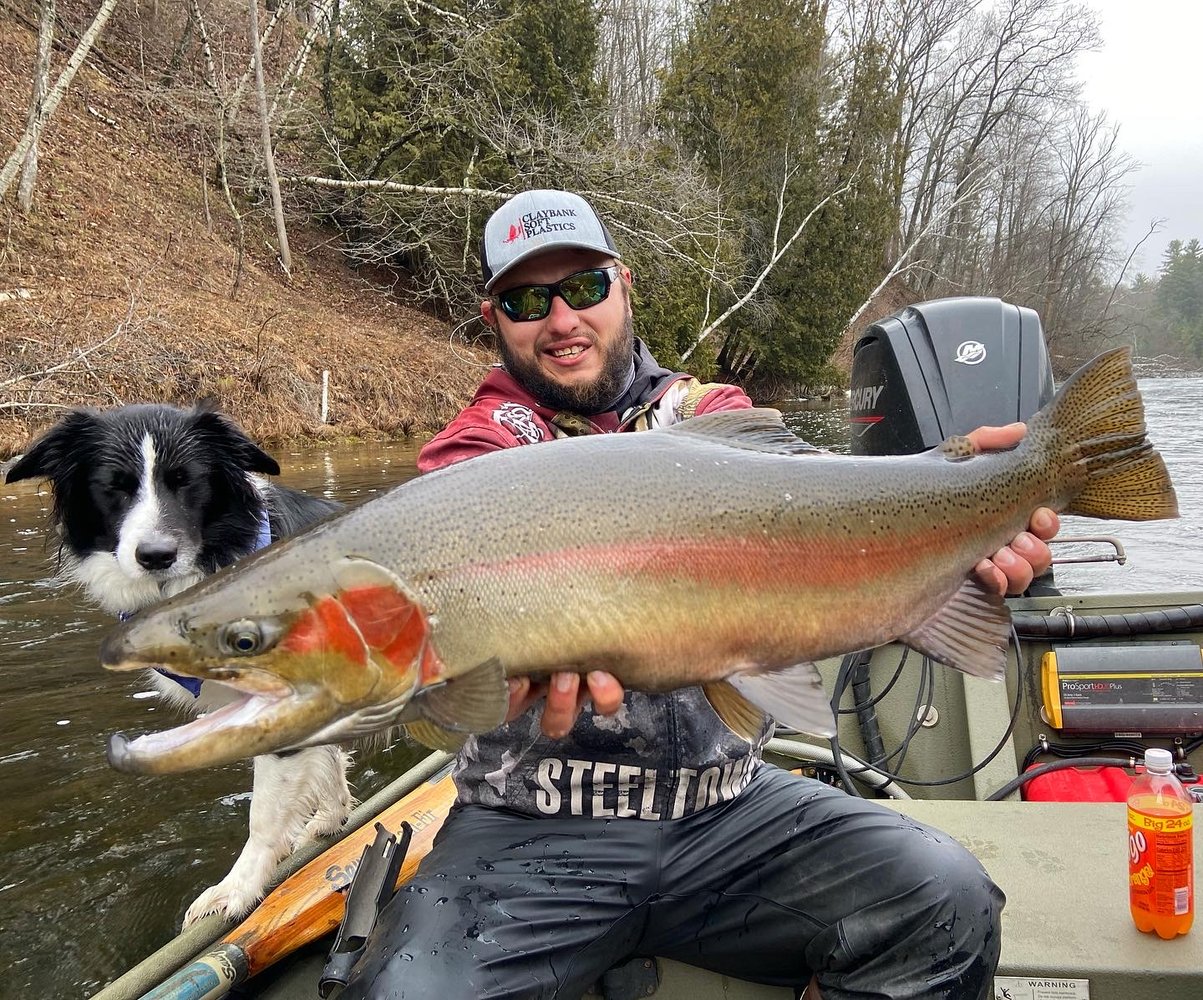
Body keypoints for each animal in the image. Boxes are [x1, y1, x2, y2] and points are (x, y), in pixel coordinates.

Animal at [5, 401, 351, 929]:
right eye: (114, 485)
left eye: (188, 480)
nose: (155, 556)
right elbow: (328, 762)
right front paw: (333, 820)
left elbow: (264, 815)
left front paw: (236, 890)